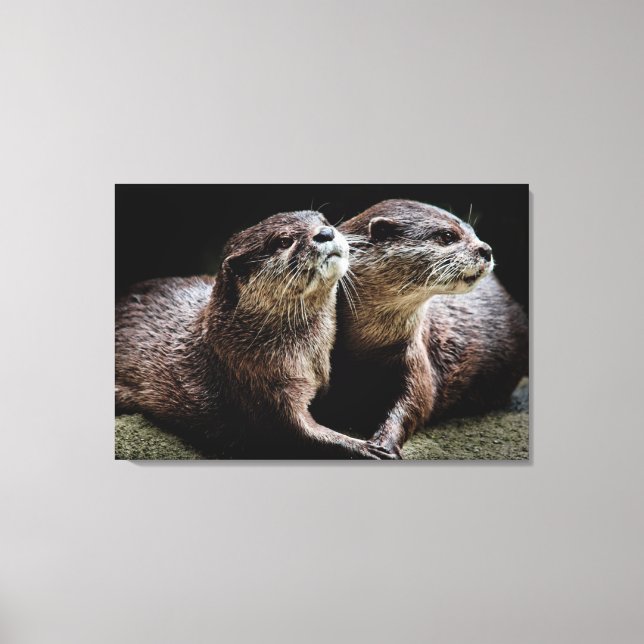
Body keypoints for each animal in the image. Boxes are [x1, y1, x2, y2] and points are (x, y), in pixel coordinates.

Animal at [115, 210, 395, 459]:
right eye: (283, 241)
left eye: (324, 220)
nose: (326, 232)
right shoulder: (259, 384)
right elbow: (295, 433)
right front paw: (364, 447)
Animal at [313, 199, 528, 458]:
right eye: (447, 236)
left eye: (473, 231)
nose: (486, 249)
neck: (365, 346)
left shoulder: (415, 355)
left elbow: (416, 403)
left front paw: (385, 443)